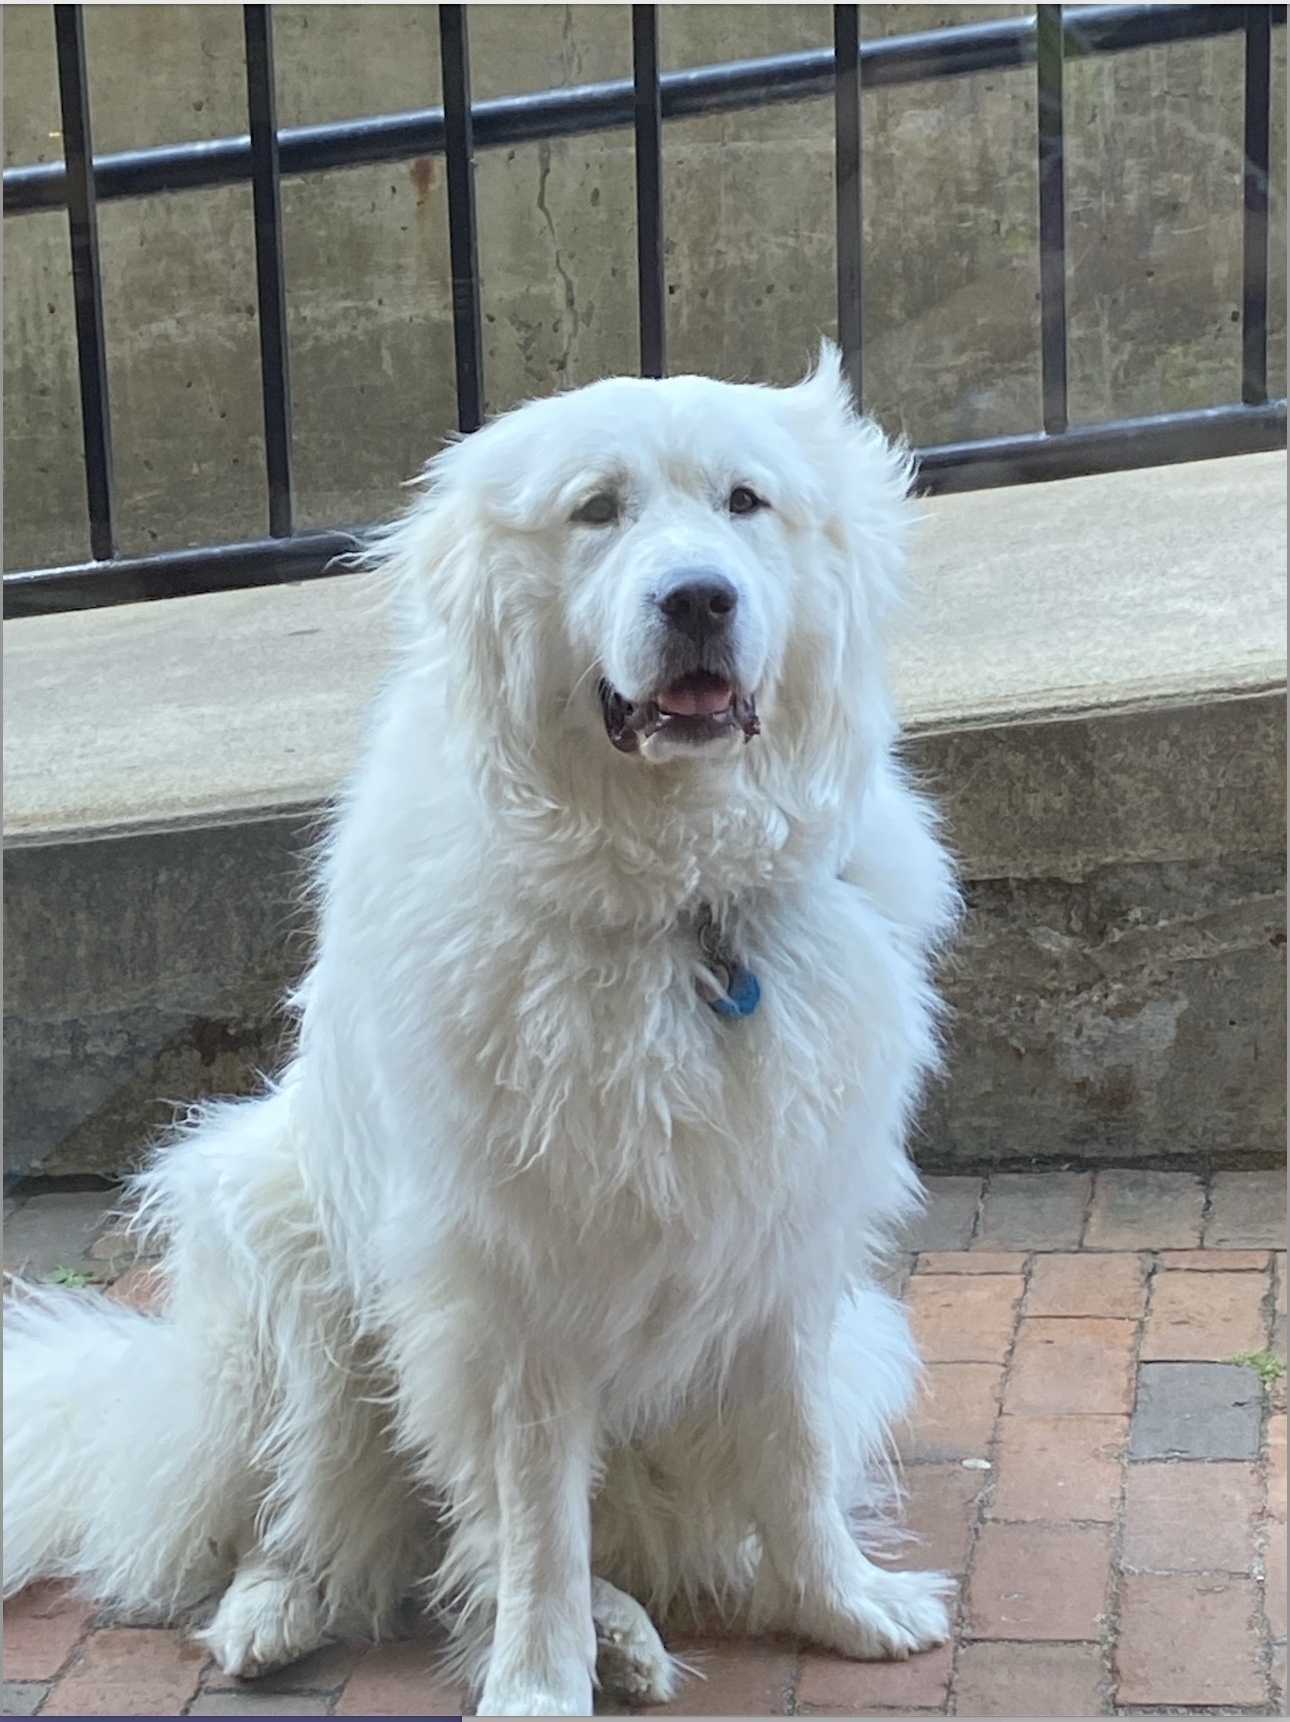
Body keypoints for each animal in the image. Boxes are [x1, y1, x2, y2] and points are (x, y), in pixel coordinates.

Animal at [2, 342, 957, 1715]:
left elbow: (789, 1459)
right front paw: (538, 1688)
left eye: (746, 503)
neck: (676, 912)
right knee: (326, 1524)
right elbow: (537, 1526)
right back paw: (278, 1615)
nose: (700, 600)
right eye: (598, 510)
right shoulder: (514, 1294)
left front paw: (842, 1608)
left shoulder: (780, 1245)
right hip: (288, 1278)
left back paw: (628, 1632)